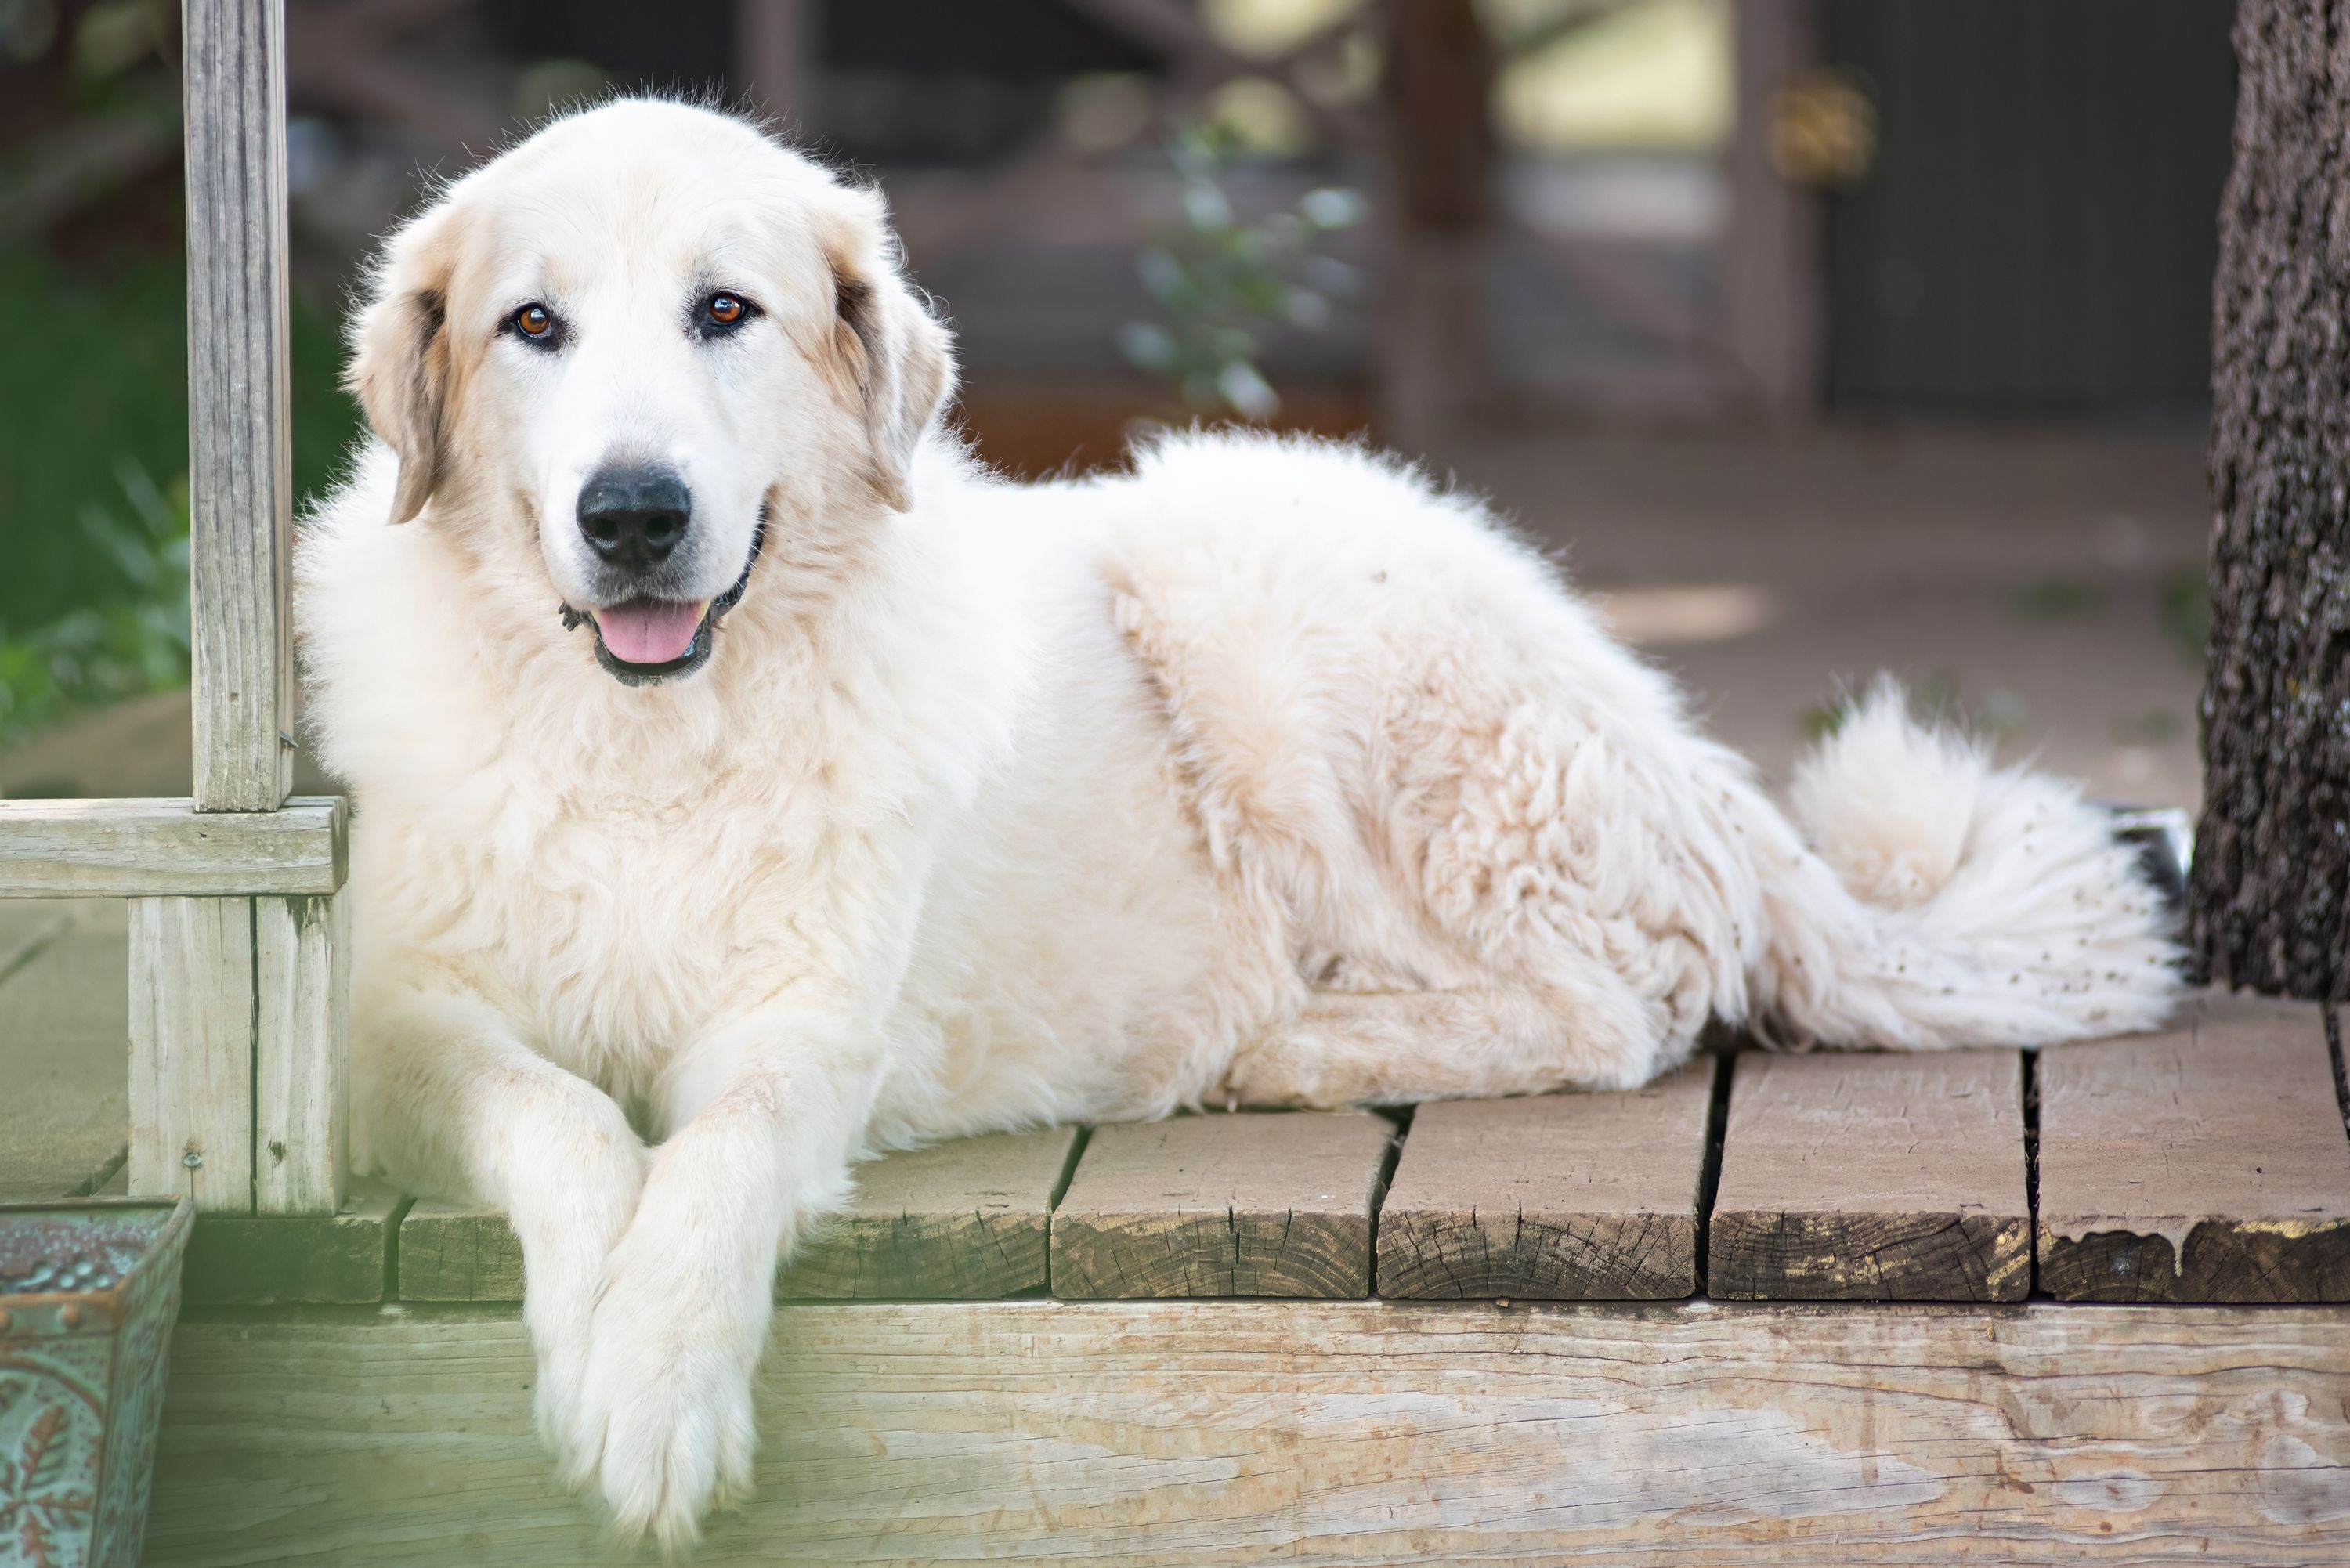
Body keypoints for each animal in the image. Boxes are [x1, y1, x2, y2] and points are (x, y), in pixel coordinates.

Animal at [298, 98, 2181, 1541]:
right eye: (534, 327)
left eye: (725, 312)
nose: (633, 514)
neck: (644, 744)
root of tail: (1676, 748)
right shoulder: (391, 1025)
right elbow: (556, 1112)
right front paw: (594, 1332)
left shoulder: (807, 1028)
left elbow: (713, 1164)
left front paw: (653, 1383)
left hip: (1247, 579)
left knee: (1614, 1006)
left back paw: (1276, 1042)